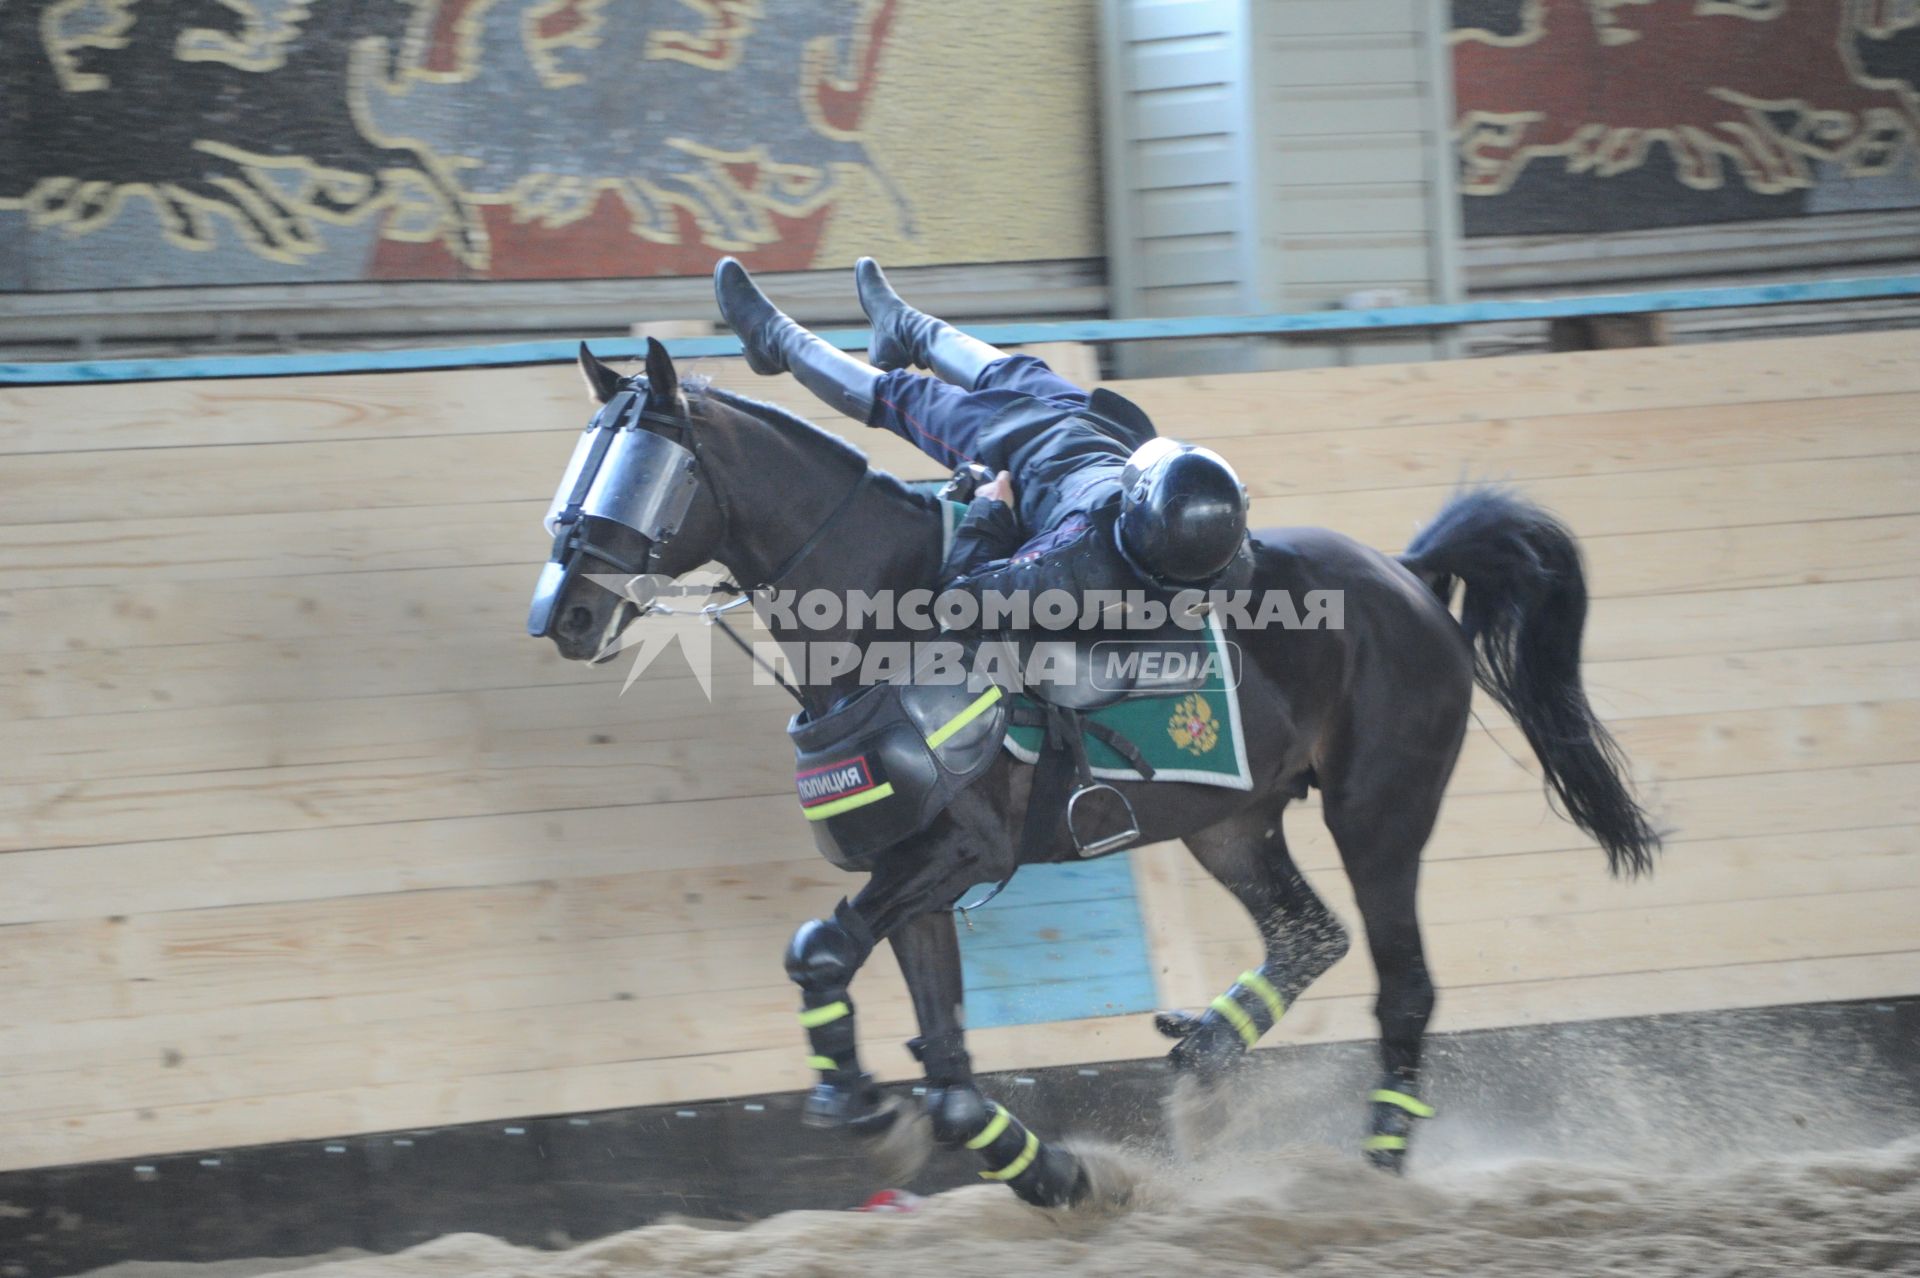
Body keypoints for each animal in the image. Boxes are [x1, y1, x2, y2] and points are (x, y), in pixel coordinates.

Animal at [533, 337, 1658, 1205]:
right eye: (584, 463)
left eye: (643, 471)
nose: (565, 615)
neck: (889, 609)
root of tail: (1407, 575)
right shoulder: (921, 870)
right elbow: (947, 1074)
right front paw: (1053, 1174)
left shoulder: (960, 852)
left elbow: (818, 947)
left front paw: (854, 1102)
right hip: (1229, 823)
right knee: (1311, 934)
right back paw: (1206, 1061)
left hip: (1380, 815)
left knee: (1405, 989)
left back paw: (1374, 1175)